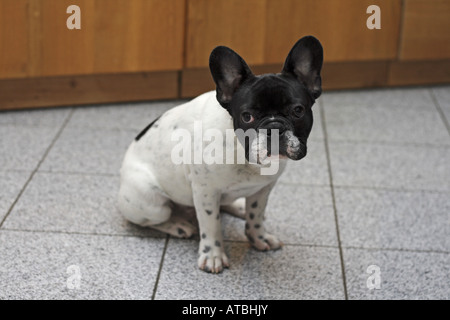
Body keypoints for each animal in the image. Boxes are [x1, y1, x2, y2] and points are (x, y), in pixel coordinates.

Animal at [118, 36, 324, 274]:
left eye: (298, 111)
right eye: (247, 116)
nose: (274, 127)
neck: (244, 154)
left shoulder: (263, 189)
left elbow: (256, 215)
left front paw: (259, 237)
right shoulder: (205, 191)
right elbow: (211, 225)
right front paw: (213, 255)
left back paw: (238, 206)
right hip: (152, 204)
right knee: (156, 218)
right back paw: (178, 225)